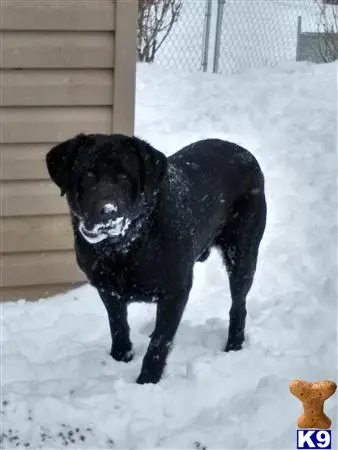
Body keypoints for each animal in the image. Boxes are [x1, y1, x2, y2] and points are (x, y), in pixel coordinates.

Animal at [45, 134, 266, 384]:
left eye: (124, 178)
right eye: (88, 175)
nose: (108, 212)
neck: (125, 247)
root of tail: (244, 152)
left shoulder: (176, 292)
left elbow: (159, 343)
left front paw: (147, 380)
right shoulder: (108, 290)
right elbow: (118, 325)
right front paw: (121, 356)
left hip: (242, 255)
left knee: (238, 305)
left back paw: (234, 345)